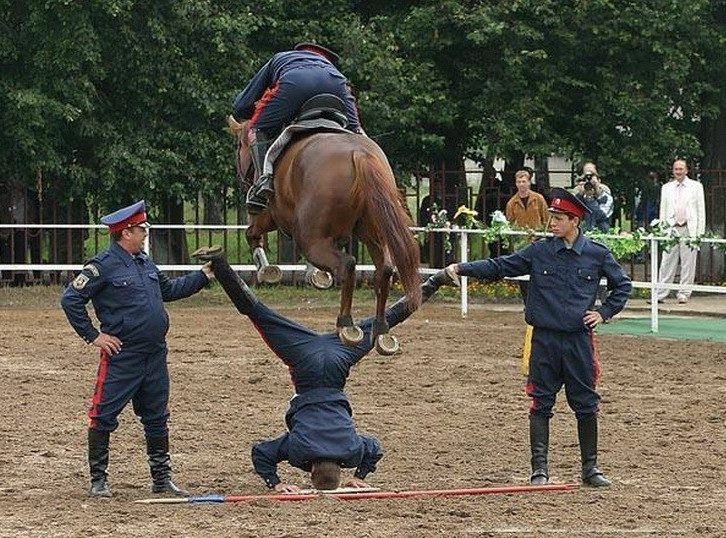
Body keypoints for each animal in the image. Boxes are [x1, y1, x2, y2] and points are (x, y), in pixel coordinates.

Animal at [228, 115, 420, 354]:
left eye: (239, 146)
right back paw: (381, 330)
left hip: (312, 240)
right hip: (373, 235)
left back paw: (346, 325)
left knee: (347, 265)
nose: (241, 179)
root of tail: (359, 154)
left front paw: (266, 269)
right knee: (384, 269)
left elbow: (251, 233)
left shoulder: (271, 214)